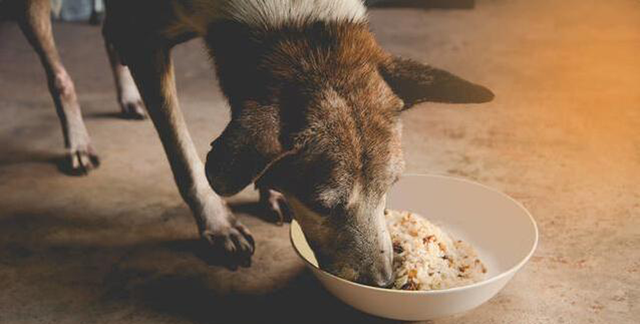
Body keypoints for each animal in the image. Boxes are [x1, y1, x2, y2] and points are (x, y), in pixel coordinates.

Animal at [0, 0, 492, 288]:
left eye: (390, 188)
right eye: (323, 204)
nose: (385, 282)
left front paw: (270, 190)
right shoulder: (148, 41)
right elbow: (184, 155)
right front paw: (218, 224)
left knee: (108, 34)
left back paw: (127, 98)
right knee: (59, 74)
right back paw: (77, 142)